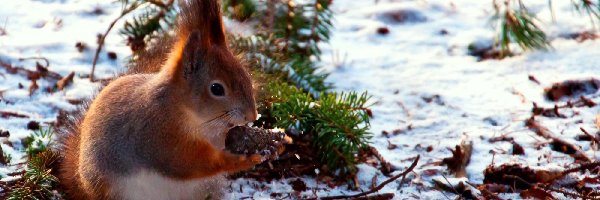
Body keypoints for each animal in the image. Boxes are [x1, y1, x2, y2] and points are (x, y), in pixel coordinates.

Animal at [57, 0, 262, 198]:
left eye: (247, 76)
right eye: (217, 89)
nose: (252, 116)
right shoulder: (158, 134)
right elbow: (187, 162)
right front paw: (242, 160)